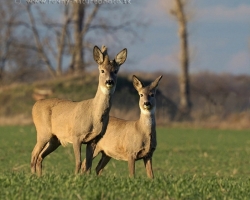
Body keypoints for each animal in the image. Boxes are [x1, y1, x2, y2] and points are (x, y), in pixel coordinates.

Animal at [31, 45, 128, 175]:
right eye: (102, 70)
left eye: (115, 71)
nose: (109, 81)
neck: (94, 115)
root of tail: (35, 104)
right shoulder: (76, 136)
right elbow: (79, 162)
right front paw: (76, 177)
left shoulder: (94, 139)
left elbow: (88, 164)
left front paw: (87, 177)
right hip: (43, 132)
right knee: (34, 154)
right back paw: (32, 176)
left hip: (55, 139)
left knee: (40, 156)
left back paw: (39, 176)